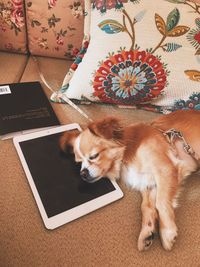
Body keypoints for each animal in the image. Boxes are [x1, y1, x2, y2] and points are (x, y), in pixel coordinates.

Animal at [59, 110, 200, 252]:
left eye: (94, 156)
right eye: (79, 162)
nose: (82, 174)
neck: (127, 152)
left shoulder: (165, 170)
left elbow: (161, 202)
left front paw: (167, 232)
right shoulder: (149, 184)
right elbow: (146, 207)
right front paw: (146, 233)